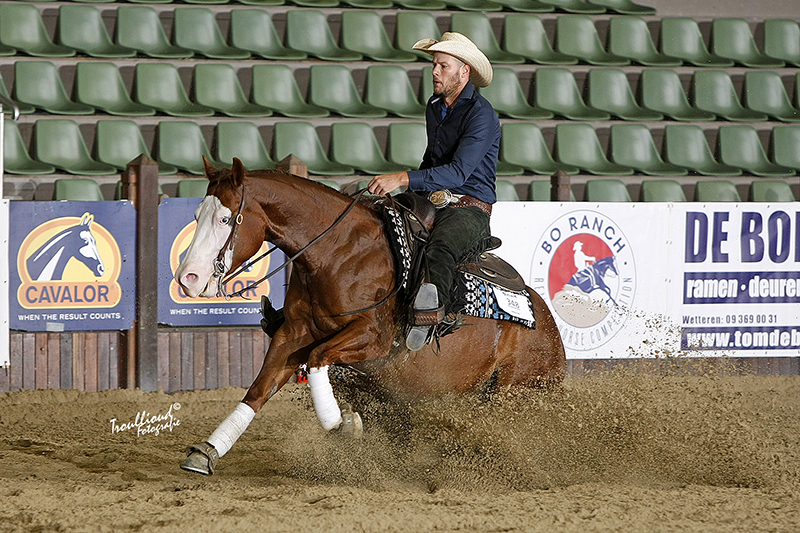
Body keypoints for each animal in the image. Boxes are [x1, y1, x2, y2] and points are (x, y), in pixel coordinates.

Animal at [175, 158, 564, 474]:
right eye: (195, 215)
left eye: (226, 218)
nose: (187, 278)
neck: (336, 252)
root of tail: (549, 328)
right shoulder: (292, 334)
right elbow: (258, 390)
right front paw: (207, 452)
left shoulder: (373, 339)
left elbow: (317, 359)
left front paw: (343, 425)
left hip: (515, 393)